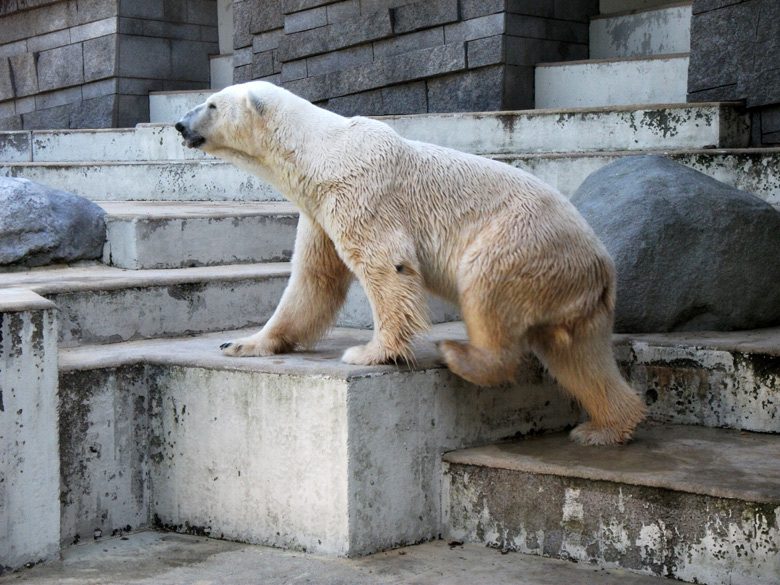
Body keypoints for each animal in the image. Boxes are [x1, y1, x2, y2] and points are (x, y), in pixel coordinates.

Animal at [175, 78, 644, 442]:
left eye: (212, 104)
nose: (179, 124)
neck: (322, 153)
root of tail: (602, 266)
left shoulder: (360, 192)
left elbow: (386, 265)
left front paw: (371, 353)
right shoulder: (318, 212)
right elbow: (312, 280)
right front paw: (241, 343)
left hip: (523, 243)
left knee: (486, 288)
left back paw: (460, 354)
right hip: (567, 288)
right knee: (580, 357)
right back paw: (604, 427)